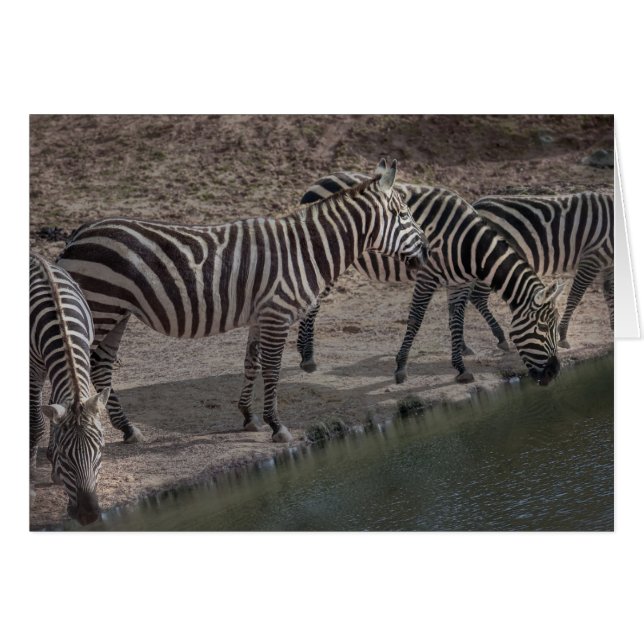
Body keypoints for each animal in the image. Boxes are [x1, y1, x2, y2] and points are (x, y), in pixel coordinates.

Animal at [30, 253, 110, 525]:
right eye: (66, 455)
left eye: (100, 450)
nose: (88, 515)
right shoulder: (33, 370)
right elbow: (35, 425)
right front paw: (30, 484)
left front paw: (53, 469)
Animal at [56, 161, 430, 443]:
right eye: (405, 215)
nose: (427, 251)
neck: (306, 250)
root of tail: (78, 233)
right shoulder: (277, 314)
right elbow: (273, 369)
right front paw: (277, 425)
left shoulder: (260, 315)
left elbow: (252, 363)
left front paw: (249, 417)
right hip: (101, 308)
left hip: (117, 314)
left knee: (101, 367)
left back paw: (128, 430)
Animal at [297, 165, 564, 385]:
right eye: (543, 327)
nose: (554, 373)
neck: (470, 245)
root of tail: (316, 182)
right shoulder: (427, 277)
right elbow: (415, 319)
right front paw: (401, 367)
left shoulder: (458, 283)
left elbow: (457, 321)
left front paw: (461, 368)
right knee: (312, 303)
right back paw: (307, 357)